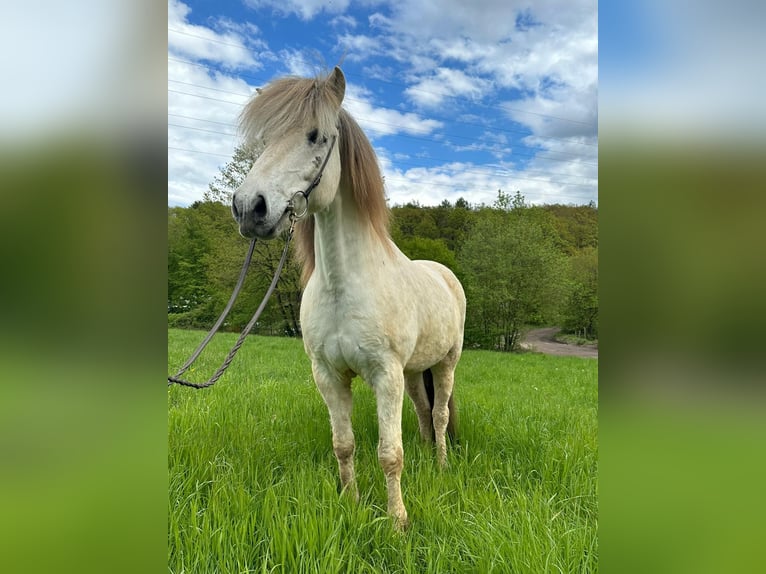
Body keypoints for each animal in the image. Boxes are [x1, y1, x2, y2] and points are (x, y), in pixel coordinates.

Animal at [231, 67, 464, 532]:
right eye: (265, 139)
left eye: (316, 136)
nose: (250, 207)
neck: (345, 284)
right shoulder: (329, 376)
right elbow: (344, 445)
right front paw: (351, 503)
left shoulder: (385, 376)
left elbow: (390, 454)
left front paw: (397, 523)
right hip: (415, 371)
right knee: (423, 410)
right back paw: (428, 456)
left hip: (446, 362)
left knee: (440, 415)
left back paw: (442, 466)